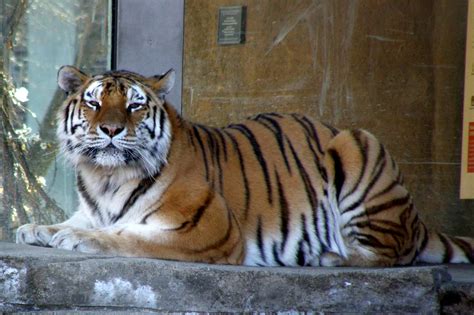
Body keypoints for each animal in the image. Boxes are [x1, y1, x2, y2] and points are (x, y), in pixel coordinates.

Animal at [14, 66, 474, 266]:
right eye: (93, 103)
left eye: (134, 106)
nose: (110, 129)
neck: (106, 177)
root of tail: (415, 220)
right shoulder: (93, 208)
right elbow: (79, 221)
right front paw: (36, 228)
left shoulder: (208, 229)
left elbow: (126, 235)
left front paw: (77, 239)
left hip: (360, 143)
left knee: (391, 255)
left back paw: (329, 258)